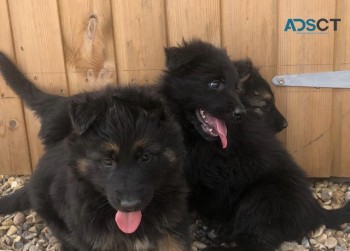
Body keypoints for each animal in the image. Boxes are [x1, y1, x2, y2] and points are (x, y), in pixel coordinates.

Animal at [160, 40, 350, 251]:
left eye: (235, 88)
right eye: (214, 84)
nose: (239, 113)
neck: (194, 134)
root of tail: (315, 209)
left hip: (263, 197)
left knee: (255, 242)